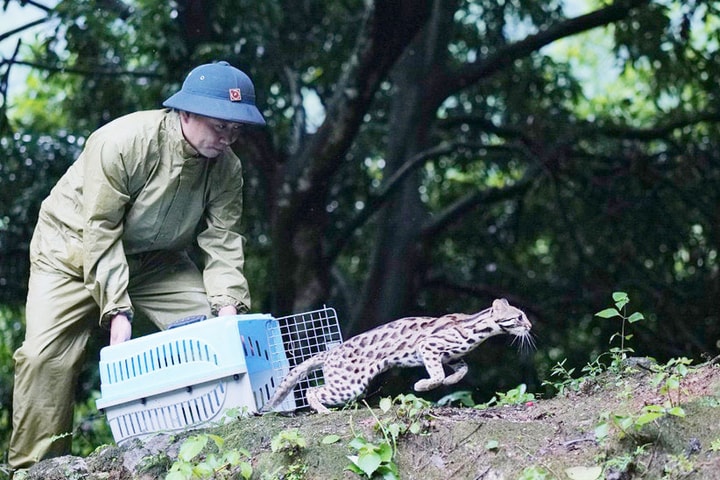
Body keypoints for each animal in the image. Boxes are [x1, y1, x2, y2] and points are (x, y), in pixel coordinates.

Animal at [262, 296, 532, 412]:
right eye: (519, 316)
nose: (530, 326)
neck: (477, 328)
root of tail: (330, 353)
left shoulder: (452, 357)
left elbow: (463, 369)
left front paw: (451, 380)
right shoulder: (428, 347)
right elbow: (435, 375)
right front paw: (423, 385)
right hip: (349, 386)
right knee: (311, 389)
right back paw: (322, 410)